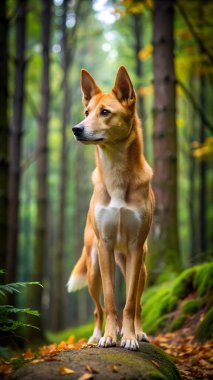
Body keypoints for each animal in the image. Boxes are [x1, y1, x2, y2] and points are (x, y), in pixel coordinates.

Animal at [67, 65, 154, 350]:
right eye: (86, 112)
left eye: (105, 112)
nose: (76, 129)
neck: (115, 173)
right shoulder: (104, 245)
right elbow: (109, 300)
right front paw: (108, 336)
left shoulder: (136, 247)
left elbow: (129, 304)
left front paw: (129, 337)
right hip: (93, 267)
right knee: (97, 308)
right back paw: (97, 334)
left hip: (140, 267)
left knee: (137, 303)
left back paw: (137, 331)